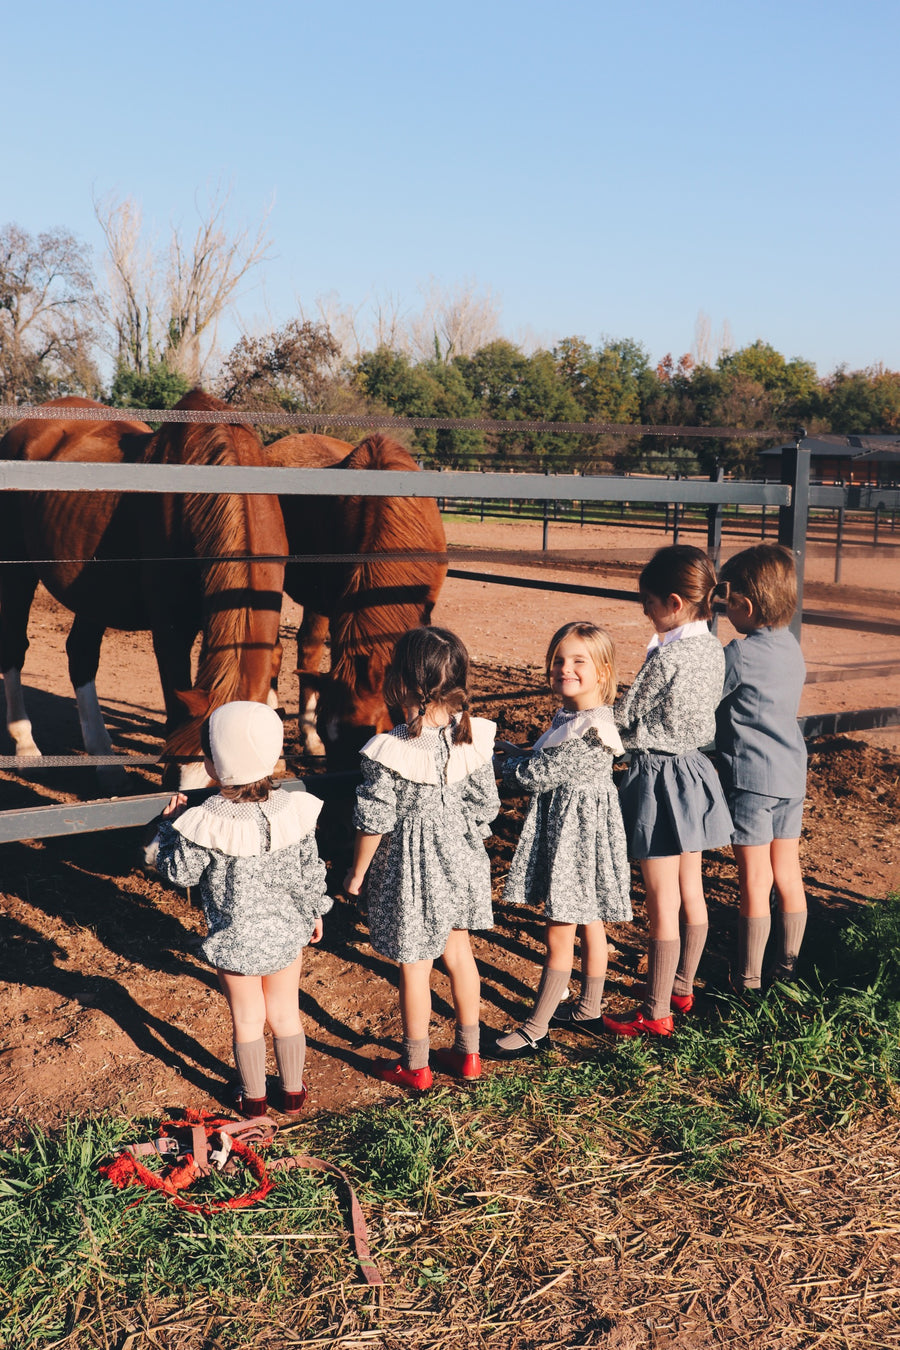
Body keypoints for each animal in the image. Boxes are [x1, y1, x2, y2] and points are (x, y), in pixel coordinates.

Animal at [0, 391, 287, 788]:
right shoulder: (171, 632)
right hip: (17, 572)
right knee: (15, 647)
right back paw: (27, 748)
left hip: (93, 591)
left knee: (81, 655)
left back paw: (105, 761)